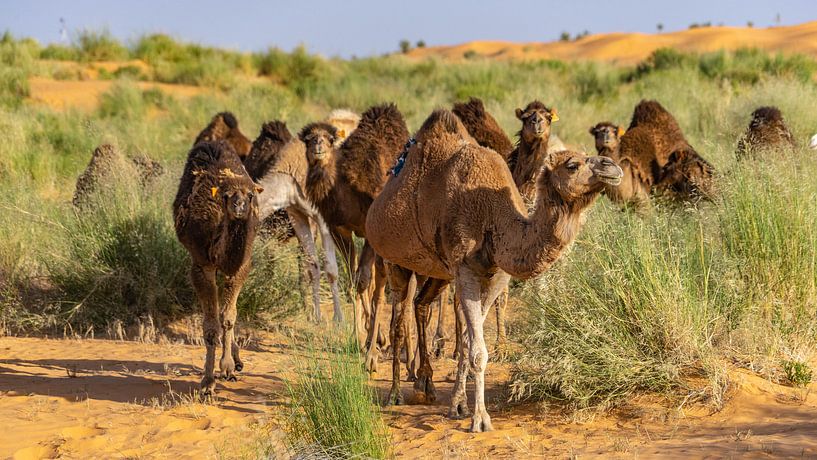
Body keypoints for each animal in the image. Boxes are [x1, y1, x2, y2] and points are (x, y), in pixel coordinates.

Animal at [173, 140, 263, 395]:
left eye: (250, 195)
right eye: (226, 195)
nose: (239, 207)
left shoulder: (241, 265)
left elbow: (228, 317)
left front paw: (228, 367)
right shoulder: (202, 264)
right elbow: (211, 326)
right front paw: (208, 382)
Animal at [244, 121, 343, 323]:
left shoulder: (323, 219)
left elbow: (330, 269)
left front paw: (338, 319)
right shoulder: (297, 214)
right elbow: (312, 265)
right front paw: (316, 317)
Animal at [299, 103, 409, 365]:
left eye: (330, 139)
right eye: (308, 139)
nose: (318, 147)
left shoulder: (369, 231)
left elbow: (363, 281)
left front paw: (372, 346)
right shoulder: (339, 229)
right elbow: (353, 279)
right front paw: (360, 339)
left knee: (380, 280)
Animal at [366, 110, 622, 431]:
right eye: (572, 164)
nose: (612, 166)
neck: (494, 217)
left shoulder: (497, 275)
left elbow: (467, 342)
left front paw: (458, 405)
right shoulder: (465, 269)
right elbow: (477, 350)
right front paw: (480, 419)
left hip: (438, 272)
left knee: (421, 304)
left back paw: (426, 384)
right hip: (395, 260)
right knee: (398, 324)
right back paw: (396, 393)